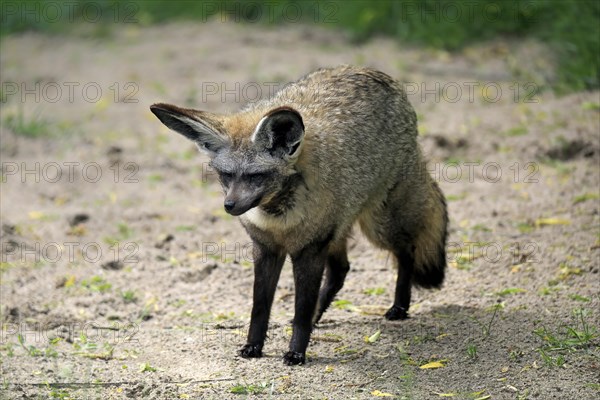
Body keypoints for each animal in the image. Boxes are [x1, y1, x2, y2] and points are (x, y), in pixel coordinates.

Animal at [152, 65, 448, 366]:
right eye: (226, 175)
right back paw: (321, 315)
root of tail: (372, 72)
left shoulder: (309, 249)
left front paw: (296, 352)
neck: (278, 219)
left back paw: (399, 306)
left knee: (407, 250)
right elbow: (260, 308)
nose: (230, 205)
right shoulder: (266, 248)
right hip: (338, 232)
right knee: (341, 270)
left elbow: (301, 309)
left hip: (377, 227)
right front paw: (253, 346)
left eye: (256, 176)